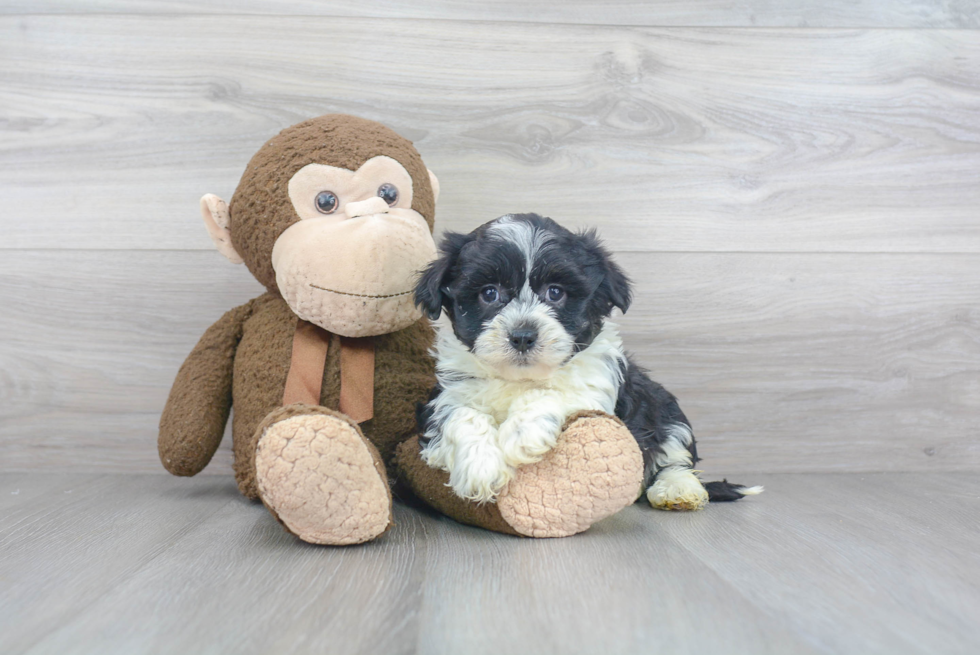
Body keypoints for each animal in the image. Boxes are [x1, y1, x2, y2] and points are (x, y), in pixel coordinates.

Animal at [412, 213, 756, 510]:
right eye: (489, 293)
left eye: (555, 293)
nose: (522, 335)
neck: (520, 379)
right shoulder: (445, 395)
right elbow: (461, 415)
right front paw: (480, 467)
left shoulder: (597, 386)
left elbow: (558, 393)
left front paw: (522, 433)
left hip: (662, 406)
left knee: (674, 453)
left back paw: (677, 489)